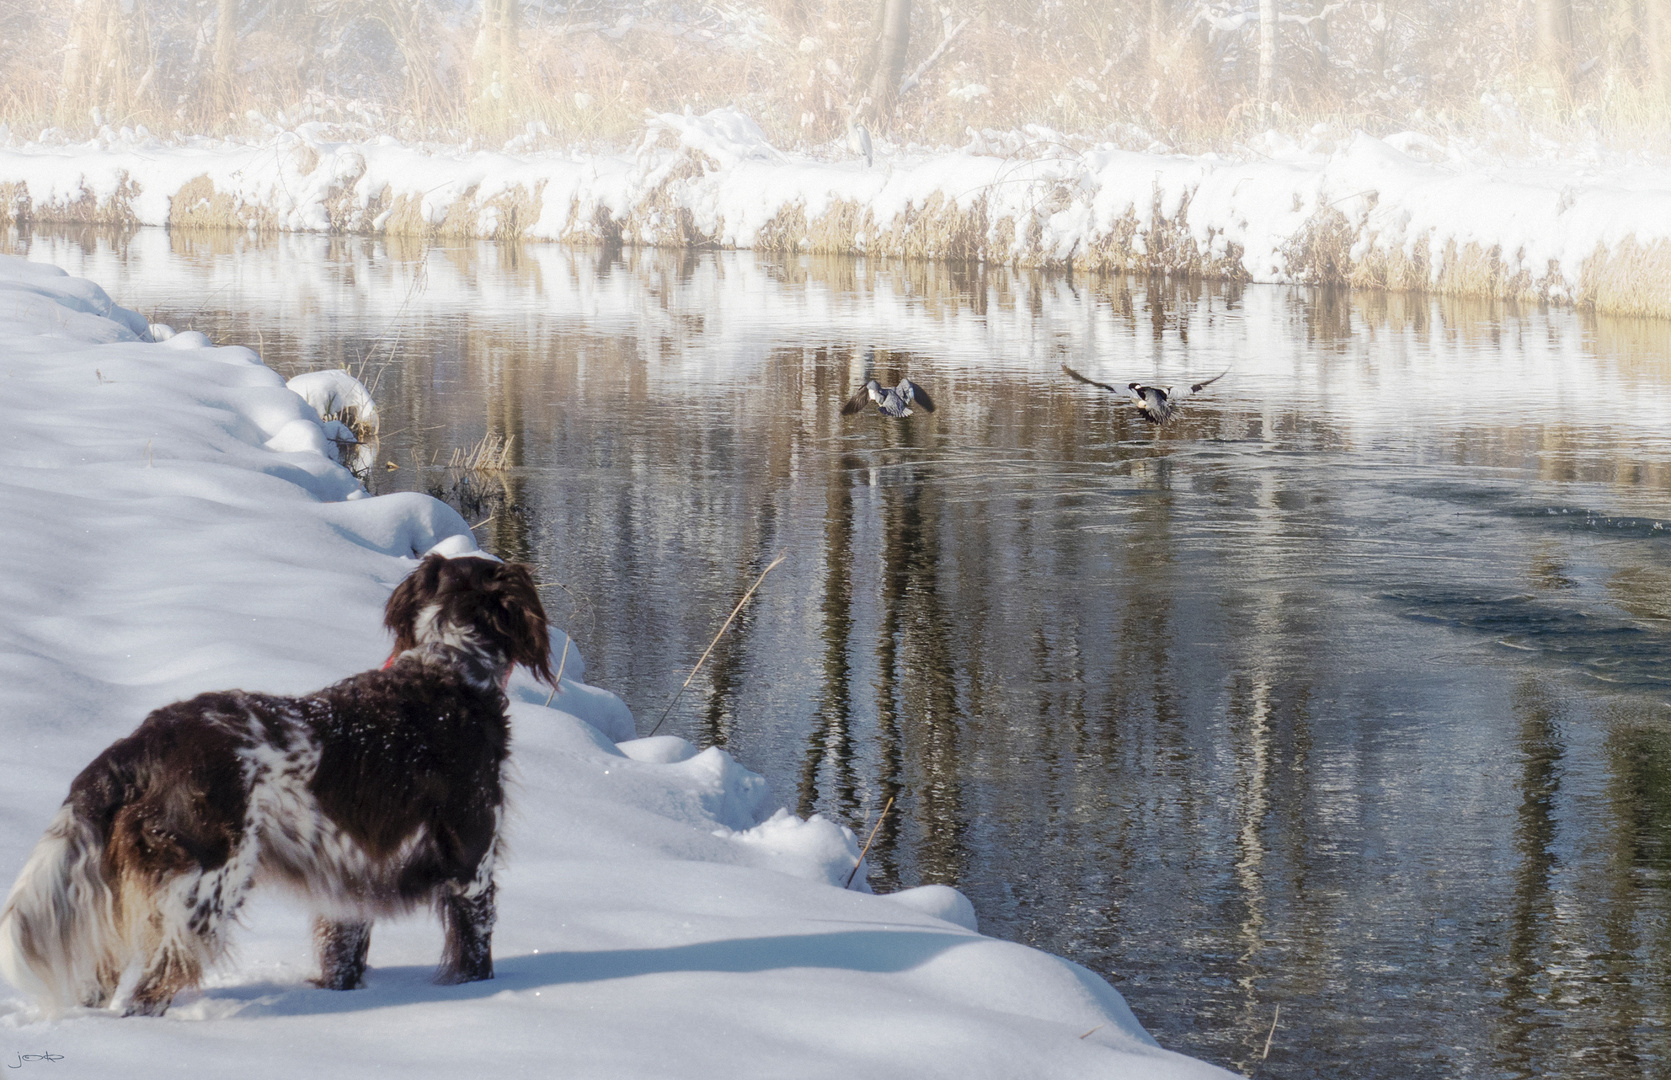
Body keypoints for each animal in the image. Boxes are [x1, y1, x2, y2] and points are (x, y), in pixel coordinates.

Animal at [0, 555, 558, 1023]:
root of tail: (139, 746)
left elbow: (343, 962)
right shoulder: (472, 870)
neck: (449, 667)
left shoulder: (349, 890)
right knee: (150, 991)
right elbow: (476, 957)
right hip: (208, 892)